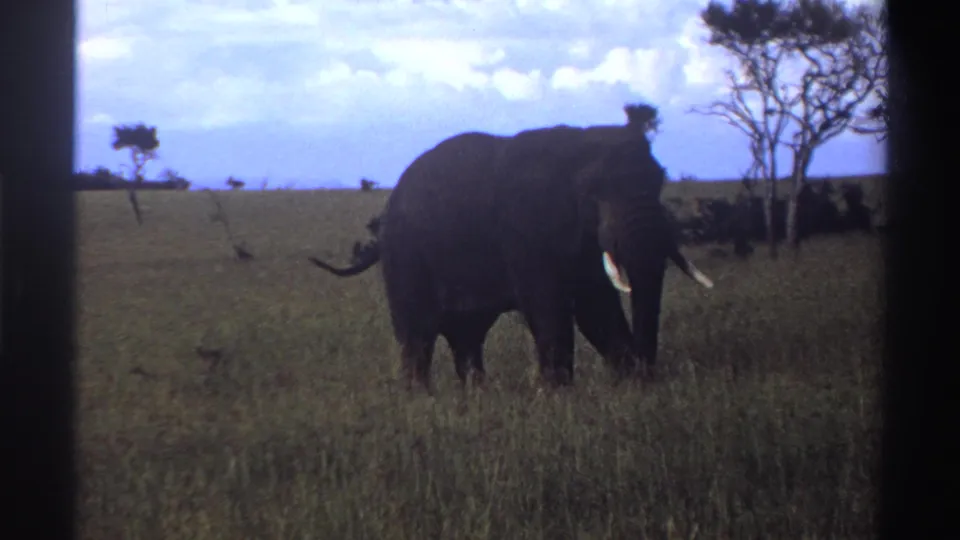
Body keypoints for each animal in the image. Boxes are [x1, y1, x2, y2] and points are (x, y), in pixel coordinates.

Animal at [309, 111, 713, 392]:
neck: (578, 145)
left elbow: (597, 309)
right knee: (418, 334)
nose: (650, 373)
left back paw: (476, 396)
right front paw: (558, 396)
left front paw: (630, 385)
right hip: (405, 257)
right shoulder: (527, 230)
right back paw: (419, 400)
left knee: (466, 337)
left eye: (660, 181)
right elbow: (551, 309)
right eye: (596, 192)